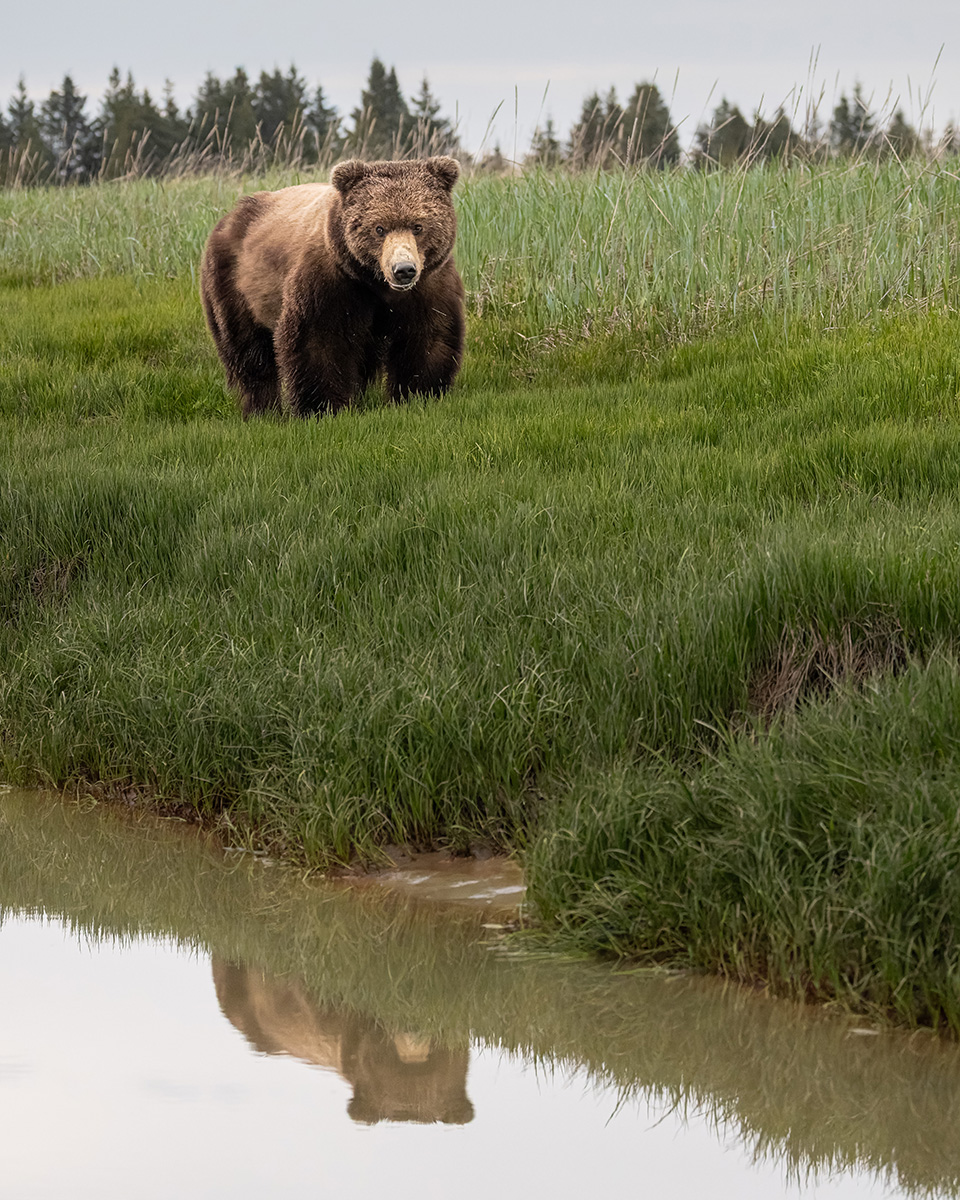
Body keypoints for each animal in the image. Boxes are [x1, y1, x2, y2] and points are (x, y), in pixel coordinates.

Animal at [200, 156, 465, 419]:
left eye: (418, 226)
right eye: (379, 228)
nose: (403, 269)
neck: (375, 284)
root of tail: (229, 217)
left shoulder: (429, 286)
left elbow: (426, 338)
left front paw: (419, 395)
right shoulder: (330, 282)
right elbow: (319, 340)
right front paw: (323, 407)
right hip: (234, 283)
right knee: (249, 351)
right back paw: (262, 409)